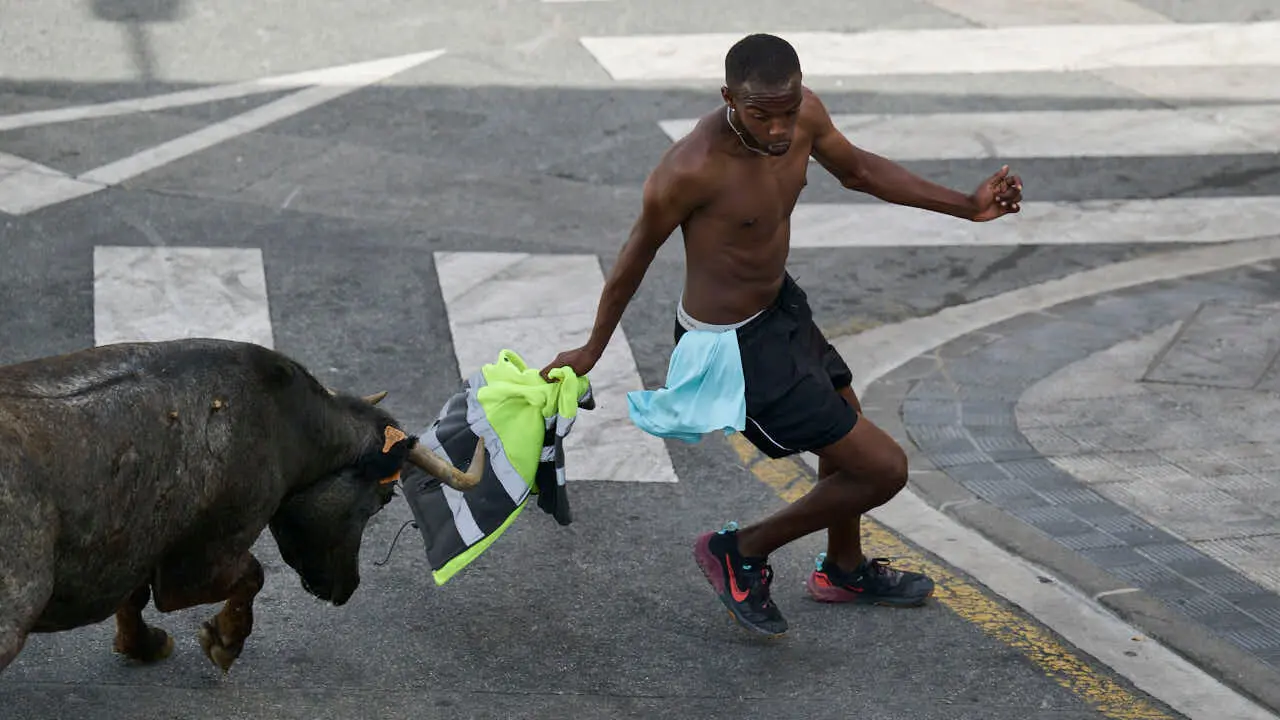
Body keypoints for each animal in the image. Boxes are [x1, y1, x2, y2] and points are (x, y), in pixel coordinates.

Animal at [0, 337, 485, 675]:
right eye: (383, 499)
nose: (347, 588)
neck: (288, 424)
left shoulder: (137, 549)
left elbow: (132, 597)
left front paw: (143, 644)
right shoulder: (196, 564)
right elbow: (253, 575)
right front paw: (224, 642)